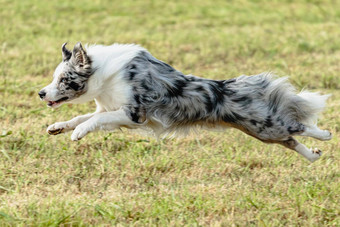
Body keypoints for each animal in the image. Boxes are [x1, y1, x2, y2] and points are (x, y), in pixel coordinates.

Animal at [39, 42, 332, 162]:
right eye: (54, 77)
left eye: (63, 79)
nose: (41, 93)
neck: (104, 73)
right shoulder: (113, 110)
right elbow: (83, 117)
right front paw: (58, 127)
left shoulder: (133, 114)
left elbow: (93, 119)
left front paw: (77, 133)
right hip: (260, 131)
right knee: (291, 140)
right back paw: (314, 156)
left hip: (265, 125)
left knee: (299, 126)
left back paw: (325, 135)